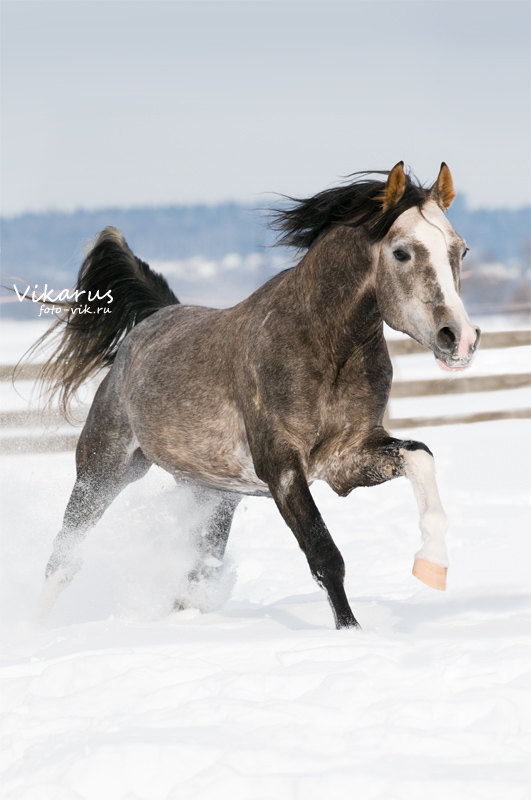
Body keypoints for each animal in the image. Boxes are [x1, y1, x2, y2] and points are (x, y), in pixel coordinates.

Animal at [34, 159, 482, 628]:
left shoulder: (346, 458)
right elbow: (324, 555)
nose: (460, 338)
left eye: (461, 250)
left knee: (196, 572)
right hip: (104, 469)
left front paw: (432, 565)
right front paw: (351, 632)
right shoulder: (282, 466)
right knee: (63, 557)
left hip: (213, 495)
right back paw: (35, 629)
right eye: (401, 252)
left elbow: (420, 456)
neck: (324, 348)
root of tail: (152, 320)